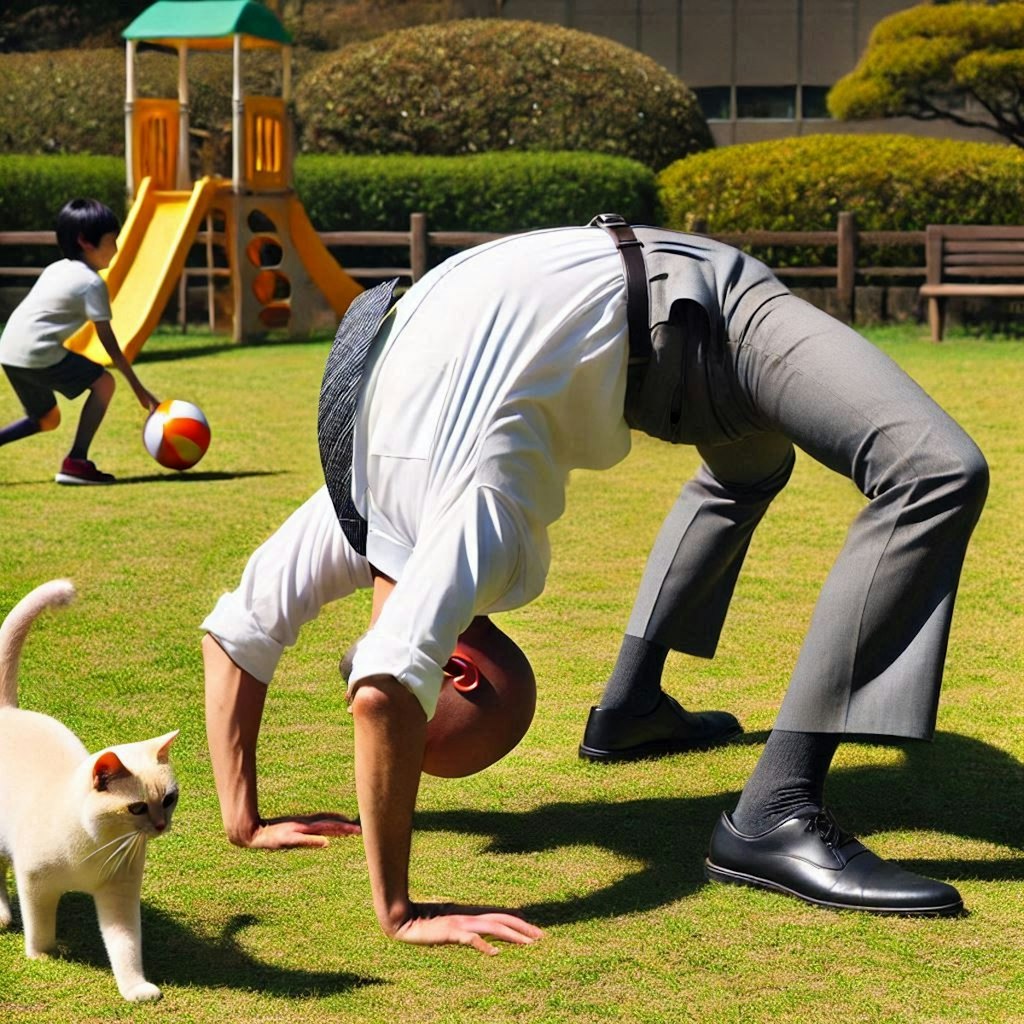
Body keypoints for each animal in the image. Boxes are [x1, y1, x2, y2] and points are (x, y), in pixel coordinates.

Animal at [0, 581, 178, 1003]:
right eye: (137, 808)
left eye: (168, 800)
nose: (161, 826)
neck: (96, 845)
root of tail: (8, 710)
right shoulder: (34, 883)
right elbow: (39, 928)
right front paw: (42, 956)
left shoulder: (118, 894)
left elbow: (125, 946)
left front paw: (136, 989)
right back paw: (2, 916)